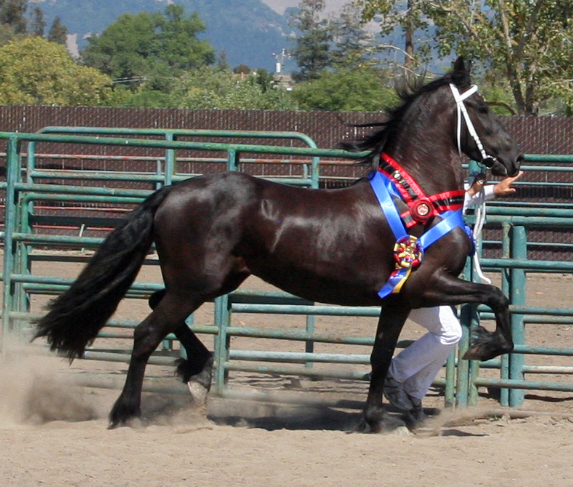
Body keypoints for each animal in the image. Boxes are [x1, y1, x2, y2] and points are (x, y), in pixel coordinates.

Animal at [33, 58, 520, 434]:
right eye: (481, 108)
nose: (514, 159)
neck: (417, 198)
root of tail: (171, 192)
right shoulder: (425, 284)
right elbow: (497, 296)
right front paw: (484, 346)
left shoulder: (401, 298)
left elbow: (383, 355)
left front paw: (378, 417)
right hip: (197, 284)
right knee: (146, 332)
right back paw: (128, 412)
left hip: (210, 281)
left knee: (156, 305)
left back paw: (200, 372)